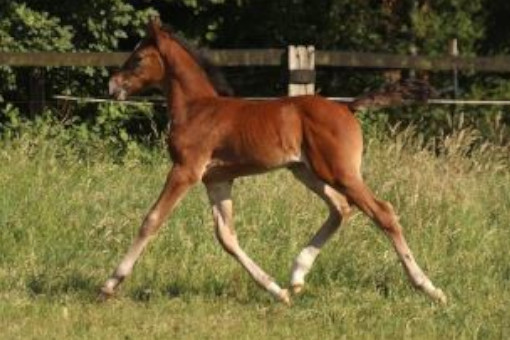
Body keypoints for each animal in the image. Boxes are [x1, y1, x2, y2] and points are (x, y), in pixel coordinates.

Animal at [101, 17, 444, 306]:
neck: (197, 108)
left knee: (382, 211)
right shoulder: (217, 179)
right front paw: (276, 291)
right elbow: (226, 236)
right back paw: (296, 277)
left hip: (339, 171)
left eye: (138, 58)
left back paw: (429, 288)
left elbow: (152, 219)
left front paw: (109, 283)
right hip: (306, 171)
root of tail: (347, 107)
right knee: (340, 208)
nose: (113, 86)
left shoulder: (186, 170)